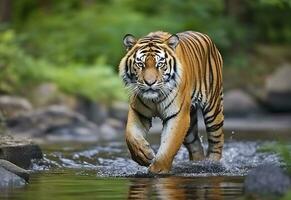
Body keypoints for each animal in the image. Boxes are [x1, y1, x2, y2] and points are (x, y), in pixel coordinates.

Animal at [120, 30, 225, 173]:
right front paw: (143, 155)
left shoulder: (178, 116)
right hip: (190, 125)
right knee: (196, 145)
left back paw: (213, 164)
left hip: (213, 109)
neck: (155, 98)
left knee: (217, 141)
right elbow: (131, 135)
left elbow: (169, 146)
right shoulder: (138, 112)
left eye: (160, 64)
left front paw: (157, 170)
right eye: (140, 64)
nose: (150, 83)